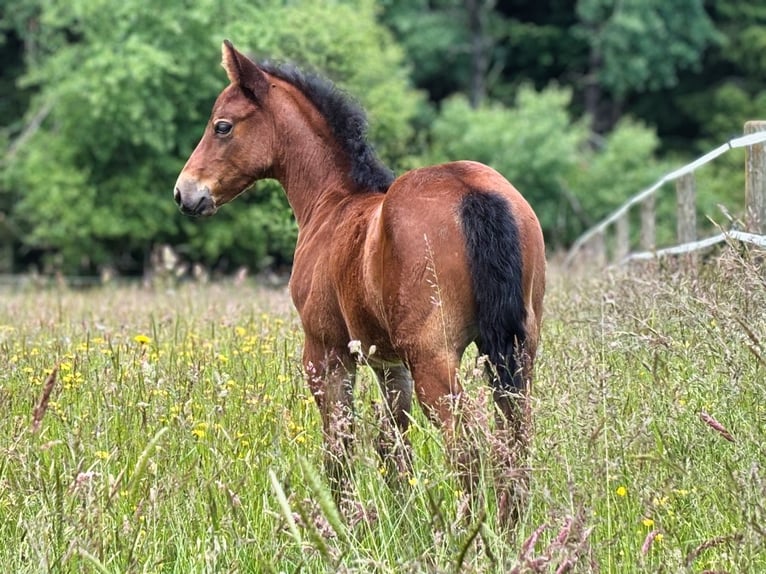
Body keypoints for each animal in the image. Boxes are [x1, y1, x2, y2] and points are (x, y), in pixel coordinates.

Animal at [174, 41, 546, 521]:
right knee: (515, 441)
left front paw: (342, 519)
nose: (185, 193)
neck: (333, 202)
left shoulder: (326, 352)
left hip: (435, 359)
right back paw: (510, 525)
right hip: (517, 351)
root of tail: (471, 191)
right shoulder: (390, 365)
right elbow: (393, 444)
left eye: (222, 125)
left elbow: (340, 443)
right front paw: (402, 517)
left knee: (467, 447)